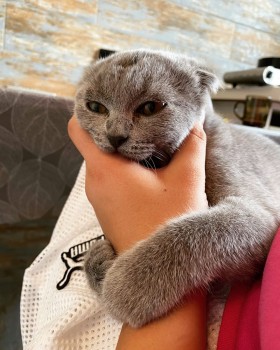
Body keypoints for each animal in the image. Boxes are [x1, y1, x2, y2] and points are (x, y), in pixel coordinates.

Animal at [74, 50, 280, 328]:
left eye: (150, 107)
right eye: (96, 107)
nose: (115, 136)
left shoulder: (261, 215)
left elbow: (202, 231)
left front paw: (126, 289)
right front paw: (98, 261)